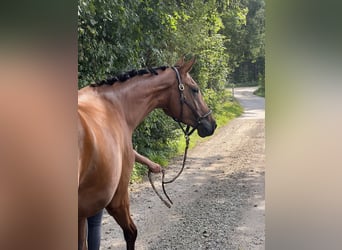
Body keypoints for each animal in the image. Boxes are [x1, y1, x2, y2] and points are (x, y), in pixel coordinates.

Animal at [78, 57, 216, 249]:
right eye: (195, 89)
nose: (212, 124)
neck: (115, 107)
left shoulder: (82, 213)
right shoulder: (118, 198)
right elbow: (131, 232)